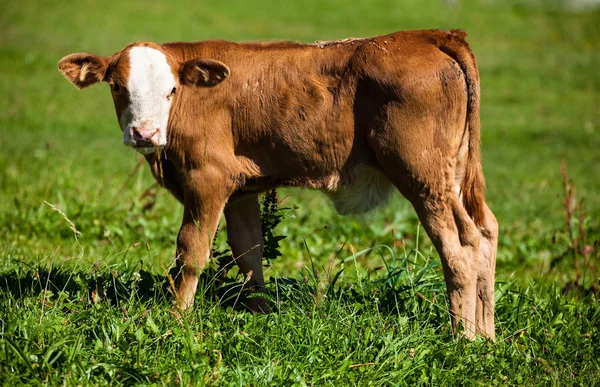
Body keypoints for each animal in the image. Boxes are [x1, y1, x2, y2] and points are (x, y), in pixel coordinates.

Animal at [59, 29, 496, 340]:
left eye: (172, 90)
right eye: (117, 86)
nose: (145, 133)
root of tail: (429, 35)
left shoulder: (207, 177)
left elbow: (191, 250)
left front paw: (175, 319)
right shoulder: (239, 189)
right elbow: (248, 250)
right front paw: (262, 316)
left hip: (422, 174)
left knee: (460, 245)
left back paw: (462, 338)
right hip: (455, 172)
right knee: (486, 233)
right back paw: (488, 338)